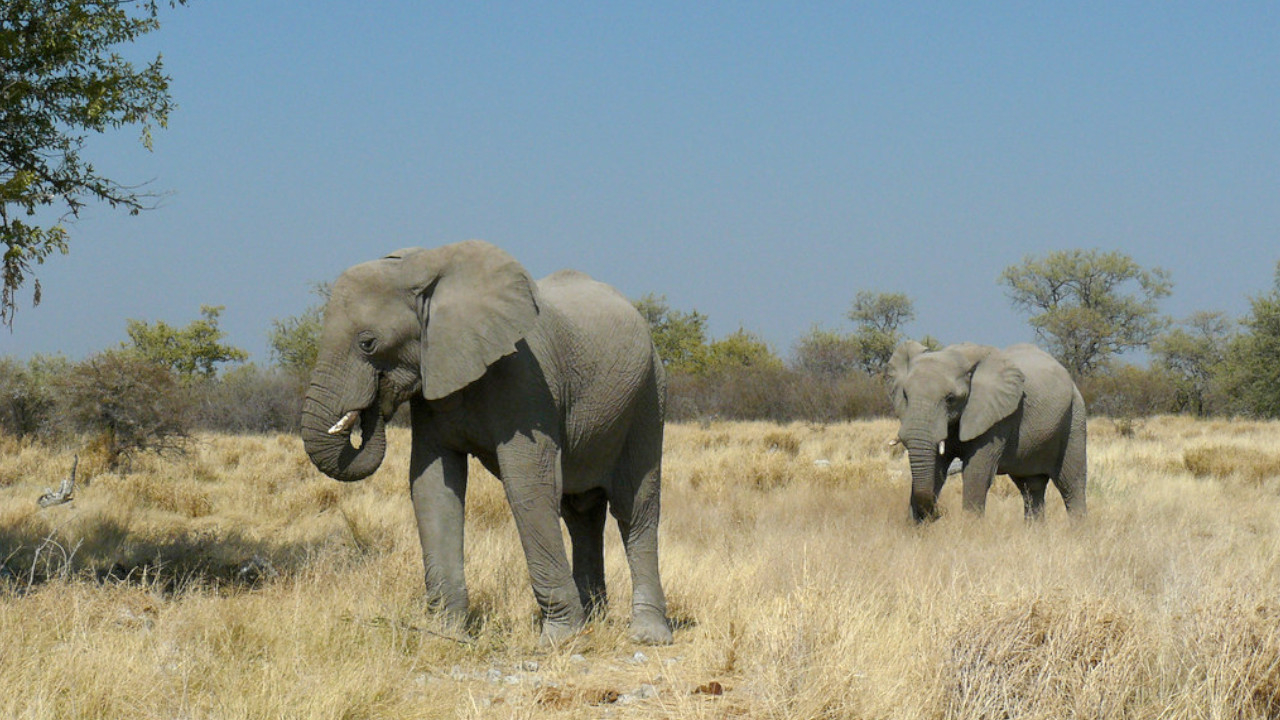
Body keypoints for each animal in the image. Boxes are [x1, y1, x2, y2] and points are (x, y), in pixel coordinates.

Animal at [300, 240, 675, 645]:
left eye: (368, 344)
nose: (373, 405)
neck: (427, 268)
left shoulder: (527, 378)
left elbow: (528, 486)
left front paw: (557, 640)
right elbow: (432, 486)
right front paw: (446, 633)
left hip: (648, 396)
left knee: (634, 507)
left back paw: (647, 635)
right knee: (581, 513)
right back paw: (594, 620)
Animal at [890, 338, 1090, 517]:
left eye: (950, 399)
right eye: (905, 395)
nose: (939, 513)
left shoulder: (995, 419)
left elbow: (976, 473)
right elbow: (936, 469)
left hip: (1075, 418)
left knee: (1071, 483)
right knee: (1031, 487)